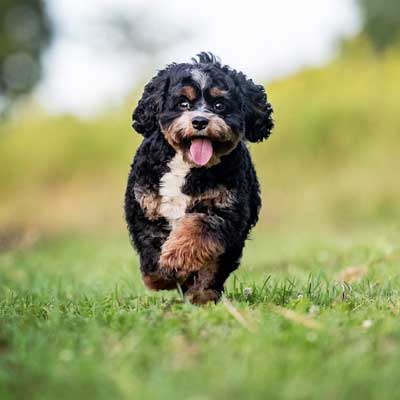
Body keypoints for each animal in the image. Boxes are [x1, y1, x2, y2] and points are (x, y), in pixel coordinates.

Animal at [126, 52, 276, 304]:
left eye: (219, 105)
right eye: (183, 104)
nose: (199, 121)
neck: (186, 166)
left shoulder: (224, 209)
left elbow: (197, 228)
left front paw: (177, 259)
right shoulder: (145, 206)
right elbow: (151, 244)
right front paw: (160, 276)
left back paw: (202, 294)